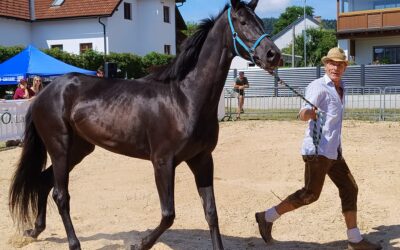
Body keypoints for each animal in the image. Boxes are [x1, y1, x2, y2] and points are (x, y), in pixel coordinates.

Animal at [7, 0, 280, 249]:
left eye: (260, 21)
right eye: (242, 22)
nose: (273, 55)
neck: (185, 98)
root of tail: (45, 92)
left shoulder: (202, 159)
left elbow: (211, 213)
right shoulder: (163, 162)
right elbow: (168, 215)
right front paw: (139, 244)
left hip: (79, 149)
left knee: (44, 182)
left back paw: (35, 230)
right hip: (60, 147)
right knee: (60, 194)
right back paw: (74, 243)